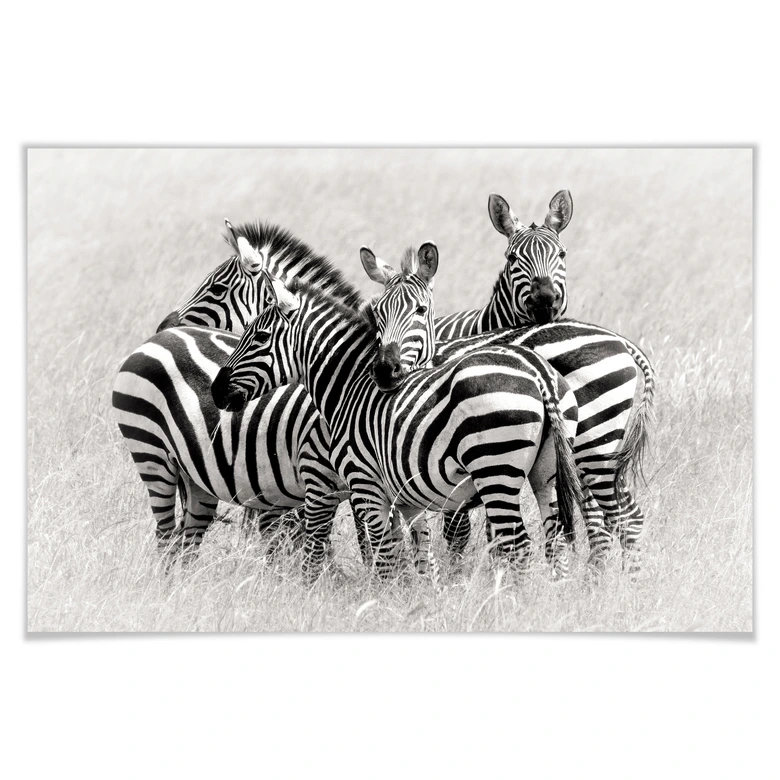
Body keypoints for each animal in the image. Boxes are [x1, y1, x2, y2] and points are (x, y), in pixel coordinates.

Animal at [211, 272, 583, 579]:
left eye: (259, 337)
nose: (215, 391)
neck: (349, 388)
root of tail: (538, 371)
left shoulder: (366, 485)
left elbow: (385, 558)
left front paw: (384, 605)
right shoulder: (406, 497)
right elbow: (419, 558)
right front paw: (421, 605)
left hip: (495, 470)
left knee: (517, 546)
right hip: (546, 474)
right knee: (555, 543)